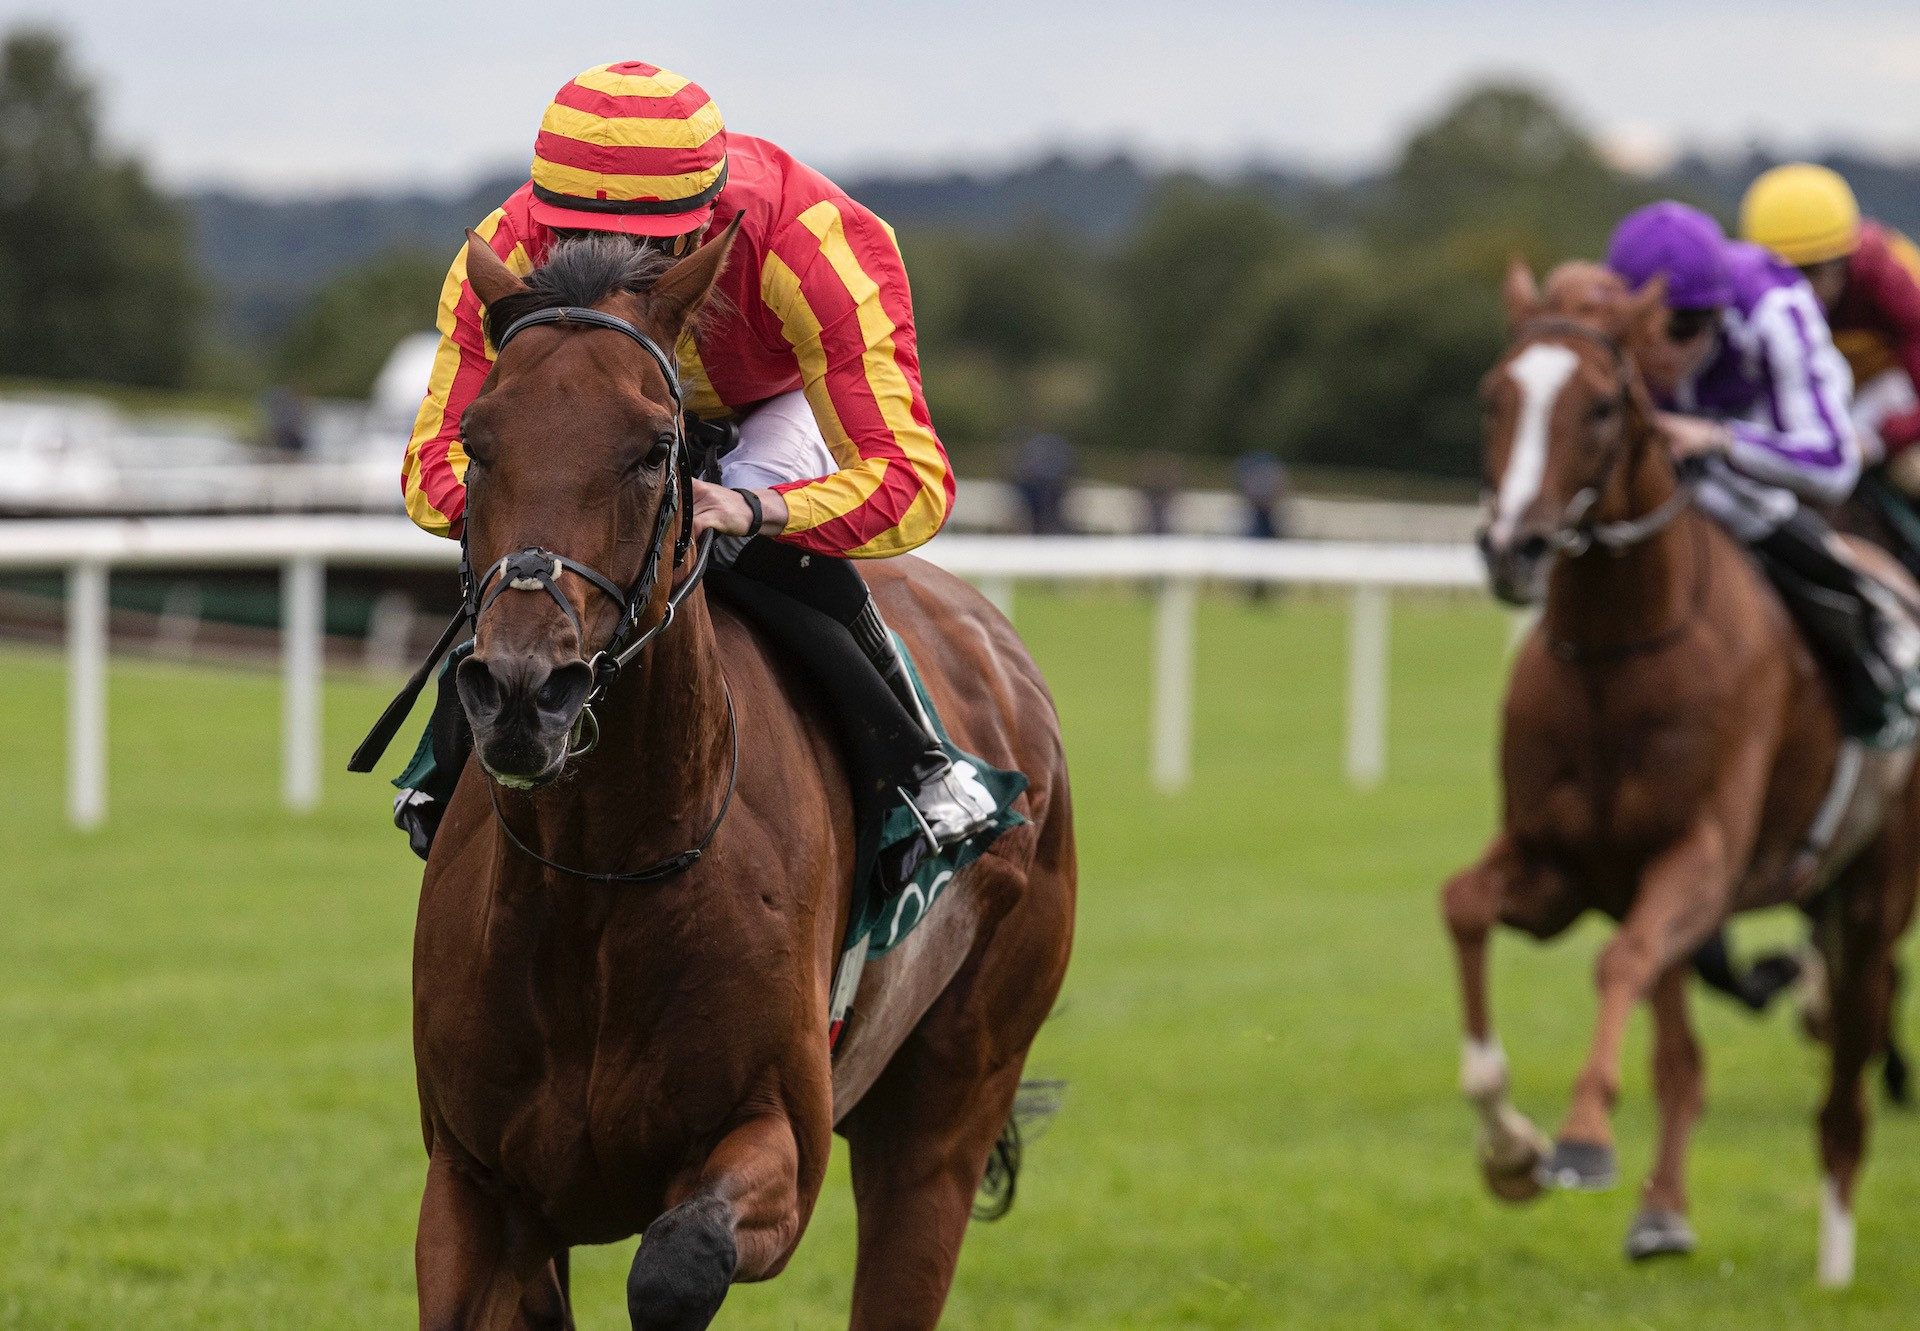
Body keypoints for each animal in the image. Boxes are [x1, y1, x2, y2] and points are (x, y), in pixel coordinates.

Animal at [410, 231, 1075, 1329]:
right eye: (476, 437)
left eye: (652, 449)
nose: (522, 690)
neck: (601, 878)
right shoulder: (474, 1182)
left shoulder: (779, 1141)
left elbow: (678, 1262)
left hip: (945, 1111)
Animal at [1443, 257, 1920, 1275]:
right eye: (1493, 395)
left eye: (1601, 406)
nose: (1513, 548)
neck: (1619, 656)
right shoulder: (1560, 866)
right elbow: (1464, 906)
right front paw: (1510, 1148)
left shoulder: (1701, 857)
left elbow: (1619, 962)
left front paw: (1582, 1138)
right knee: (1683, 1054)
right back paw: (1662, 1212)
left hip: (1872, 893)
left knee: (1847, 1079)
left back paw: (1833, 1255)